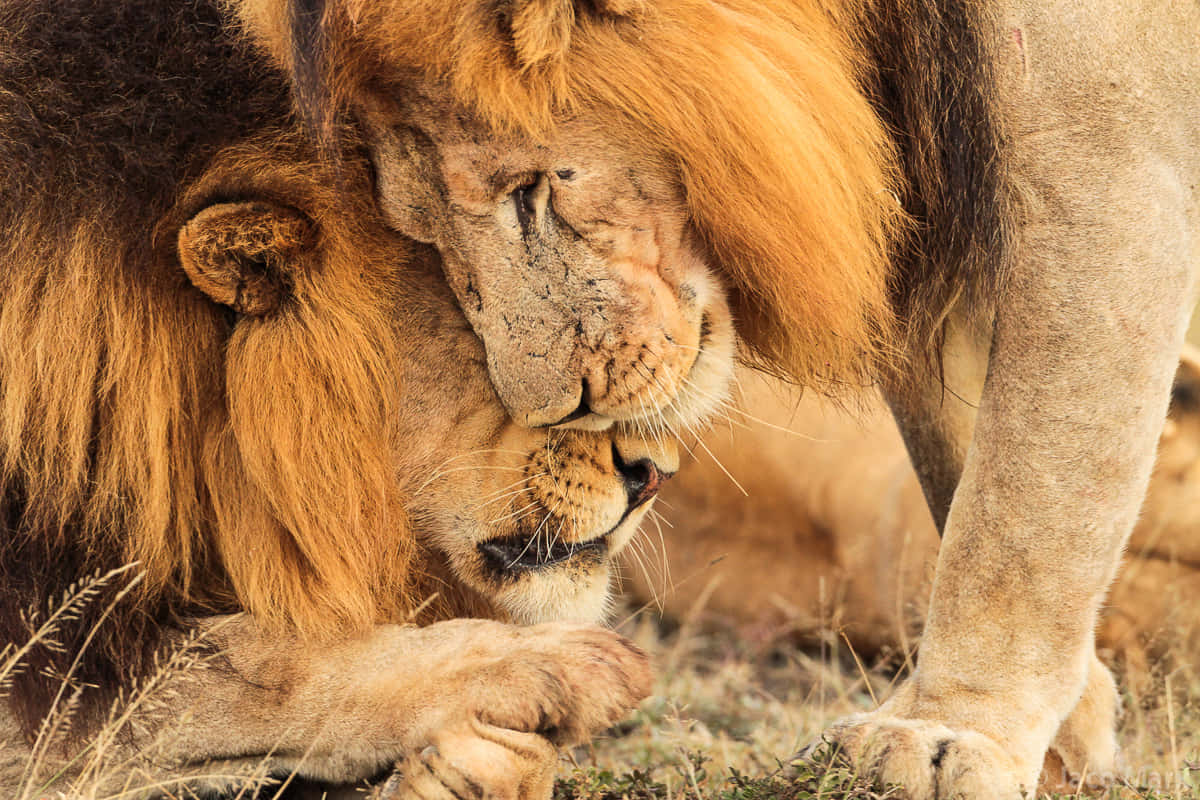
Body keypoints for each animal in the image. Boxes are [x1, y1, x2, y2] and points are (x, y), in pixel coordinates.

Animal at [231, 0, 1200, 795]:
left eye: (532, 190)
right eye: (420, 229)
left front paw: (946, 734)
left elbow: (1024, 506)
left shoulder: (1101, 159)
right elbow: (961, 461)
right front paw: (1071, 730)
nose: (554, 407)